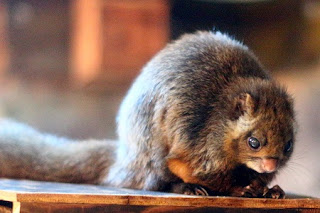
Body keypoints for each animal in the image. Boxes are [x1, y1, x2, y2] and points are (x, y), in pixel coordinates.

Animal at [0, 31, 296, 198]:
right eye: (254, 142)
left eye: (288, 146)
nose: (270, 165)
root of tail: (124, 157)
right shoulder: (195, 148)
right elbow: (192, 169)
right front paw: (239, 188)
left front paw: (267, 188)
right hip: (151, 157)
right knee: (153, 182)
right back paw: (183, 188)